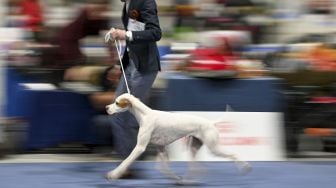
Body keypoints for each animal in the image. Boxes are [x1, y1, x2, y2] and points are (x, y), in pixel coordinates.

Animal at [106, 93, 251, 180]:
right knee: (197, 167)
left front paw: (114, 174)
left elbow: (126, 161)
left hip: (213, 148)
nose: (107, 108)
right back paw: (189, 180)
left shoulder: (140, 148)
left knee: (233, 155)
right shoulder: (161, 148)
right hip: (194, 148)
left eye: (117, 103)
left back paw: (245, 167)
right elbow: (163, 168)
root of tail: (210, 123)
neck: (145, 115)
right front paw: (174, 178)